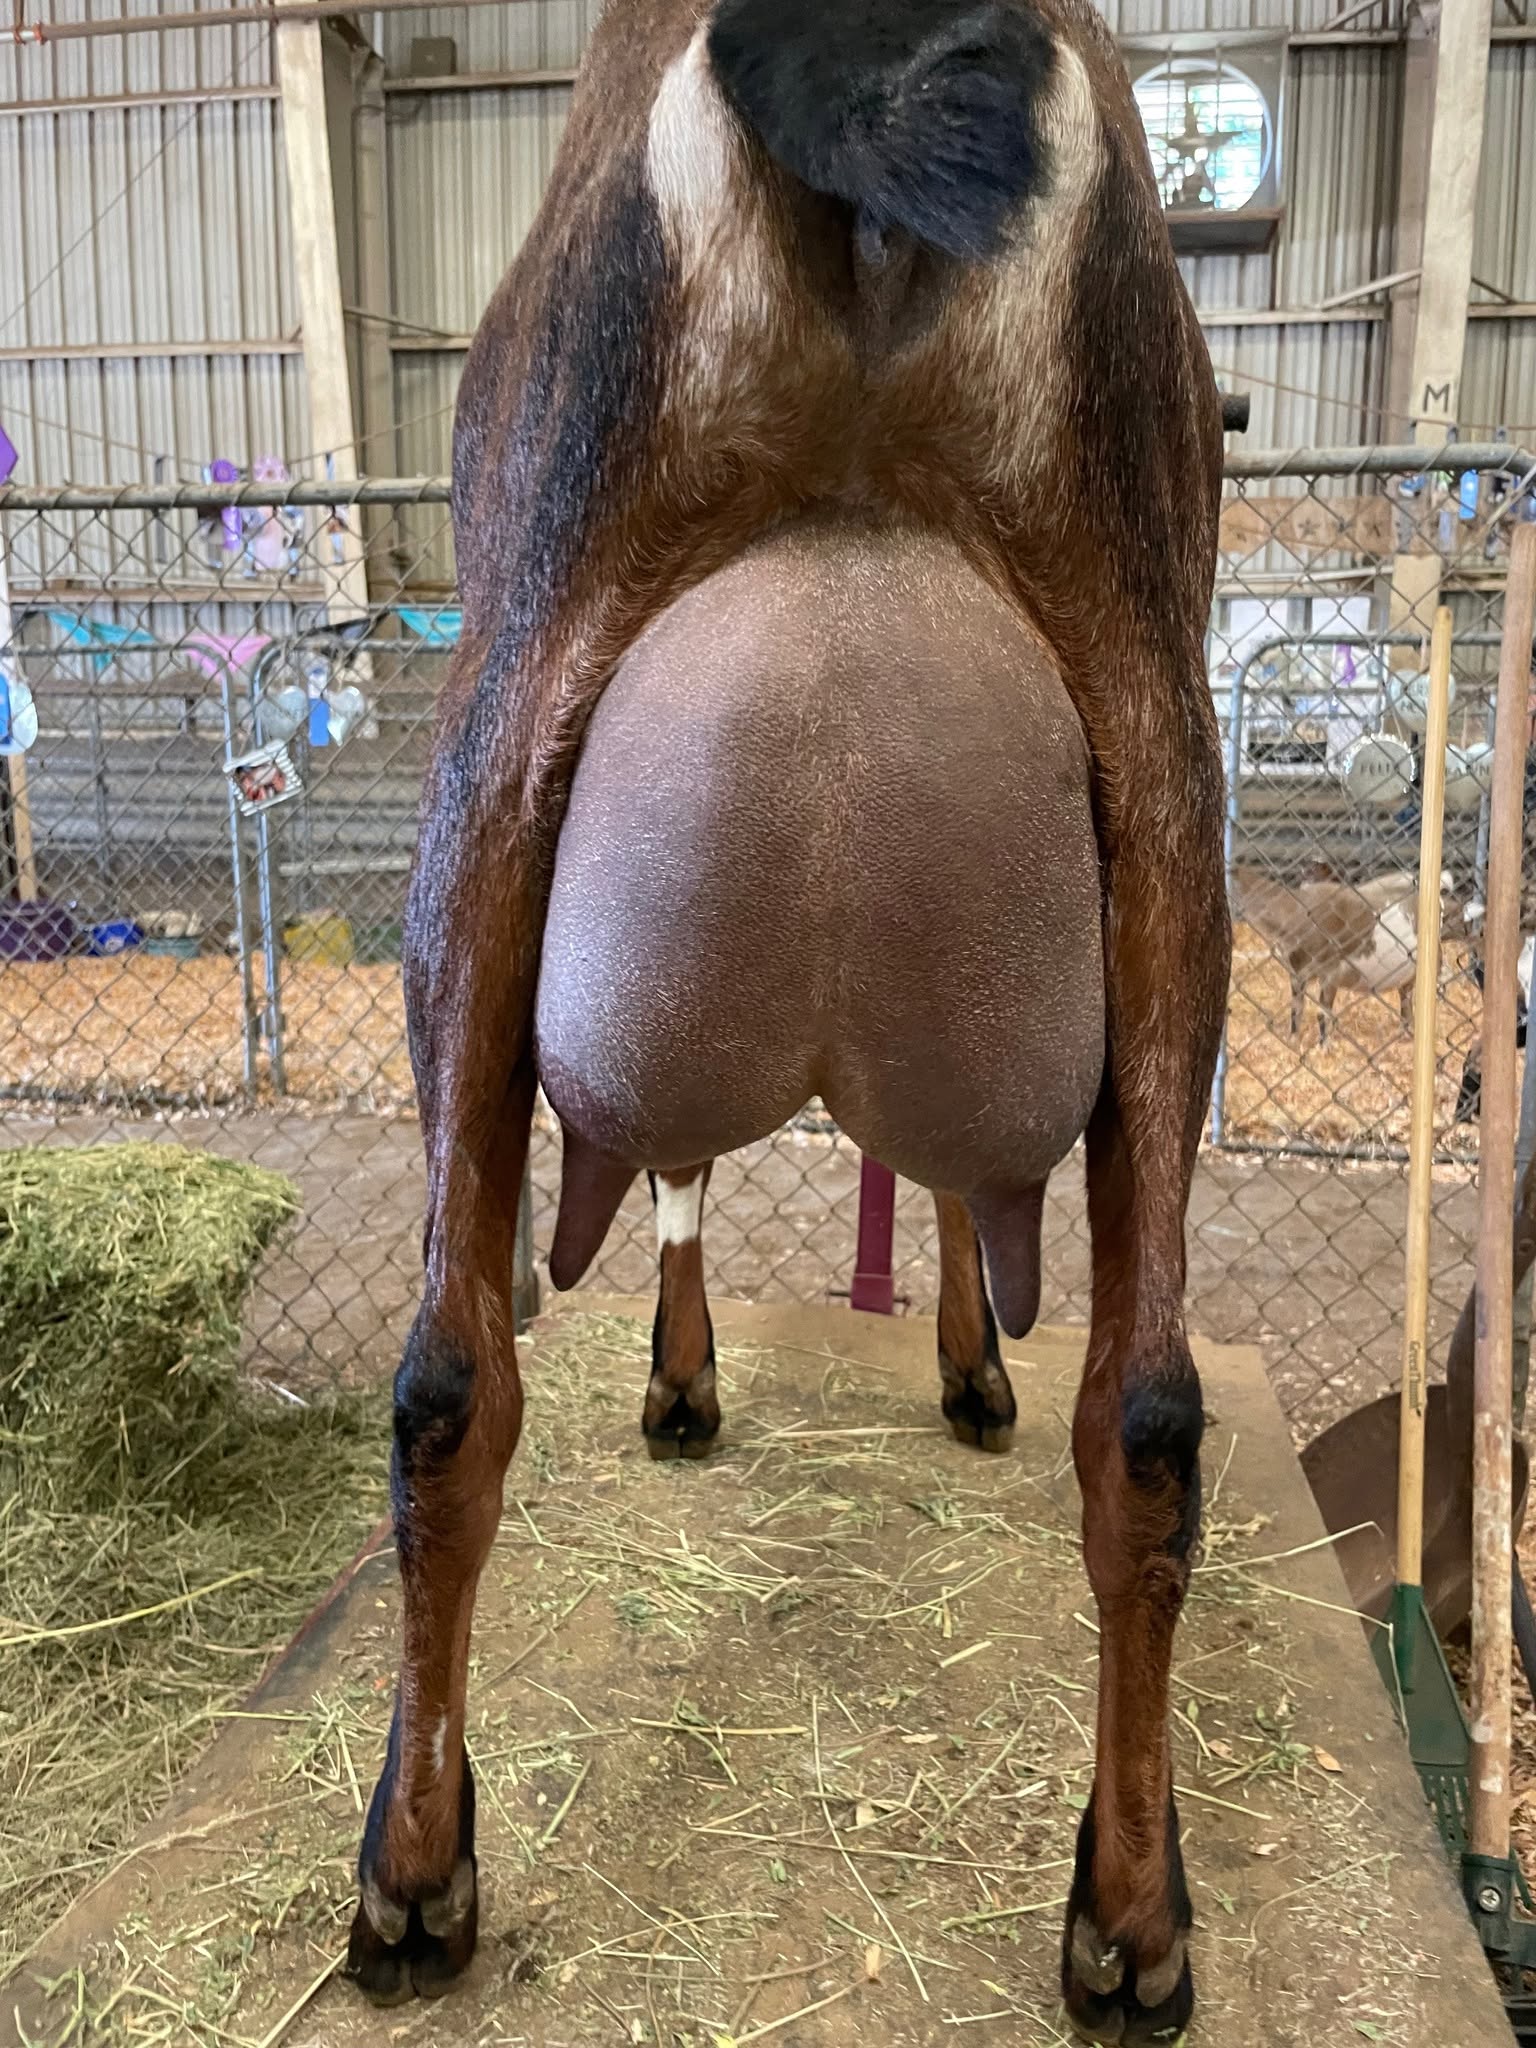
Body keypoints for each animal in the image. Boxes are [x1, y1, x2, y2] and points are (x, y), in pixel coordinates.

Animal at [348, 4, 1229, 2041]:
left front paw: (702, 1379)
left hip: (504, 724)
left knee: (447, 1378)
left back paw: (413, 1874)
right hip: (1156, 765)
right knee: (1146, 1418)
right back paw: (1135, 1919)